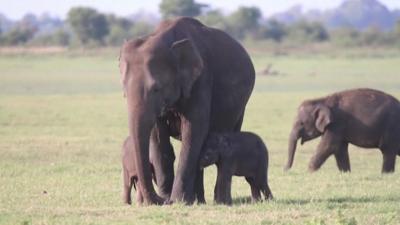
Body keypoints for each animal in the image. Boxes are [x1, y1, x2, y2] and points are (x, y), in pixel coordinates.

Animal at [119, 16, 256, 205]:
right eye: (123, 89)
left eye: (156, 89)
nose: (161, 200)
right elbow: (158, 135)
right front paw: (168, 198)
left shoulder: (201, 80)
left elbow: (194, 130)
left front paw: (177, 200)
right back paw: (197, 200)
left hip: (240, 106)